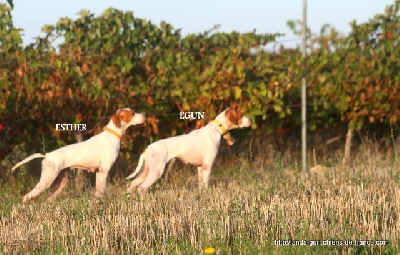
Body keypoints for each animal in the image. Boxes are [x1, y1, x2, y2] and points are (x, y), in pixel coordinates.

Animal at [11, 107, 146, 201]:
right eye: (132, 113)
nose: (145, 115)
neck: (112, 135)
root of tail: (47, 155)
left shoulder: (99, 172)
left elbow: (98, 192)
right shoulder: (104, 170)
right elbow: (101, 190)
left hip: (59, 183)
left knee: (47, 199)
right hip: (47, 179)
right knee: (27, 196)